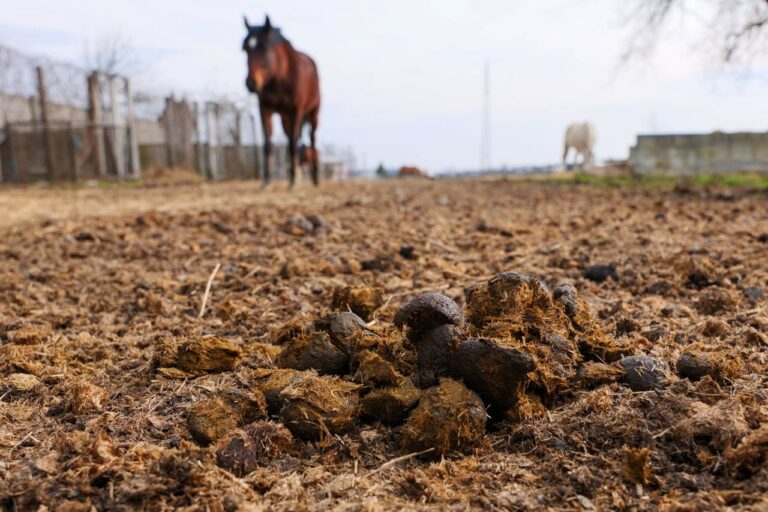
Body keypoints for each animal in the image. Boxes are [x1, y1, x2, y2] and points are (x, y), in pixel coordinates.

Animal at [243, 15, 321, 187]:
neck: (278, 78)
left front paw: (293, 181)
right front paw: (267, 180)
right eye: (245, 49)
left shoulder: (297, 110)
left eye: (265, 48)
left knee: (311, 138)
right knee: (292, 137)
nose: (251, 83)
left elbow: (293, 143)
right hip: (286, 118)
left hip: (314, 112)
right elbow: (268, 143)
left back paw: (314, 177)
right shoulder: (265, 108)